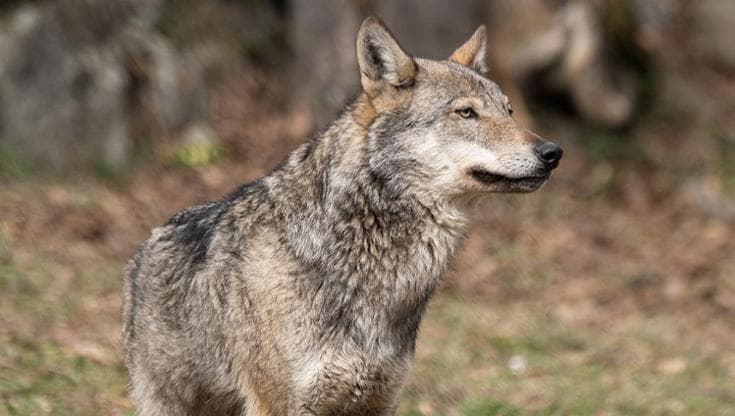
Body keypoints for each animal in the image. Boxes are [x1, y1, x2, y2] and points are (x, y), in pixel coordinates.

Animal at [122, 16, 562, 416]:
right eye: (466, 113)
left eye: (508, 111)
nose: (552, 152)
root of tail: (145, 245)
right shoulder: (280, 405)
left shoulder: (379, 399)